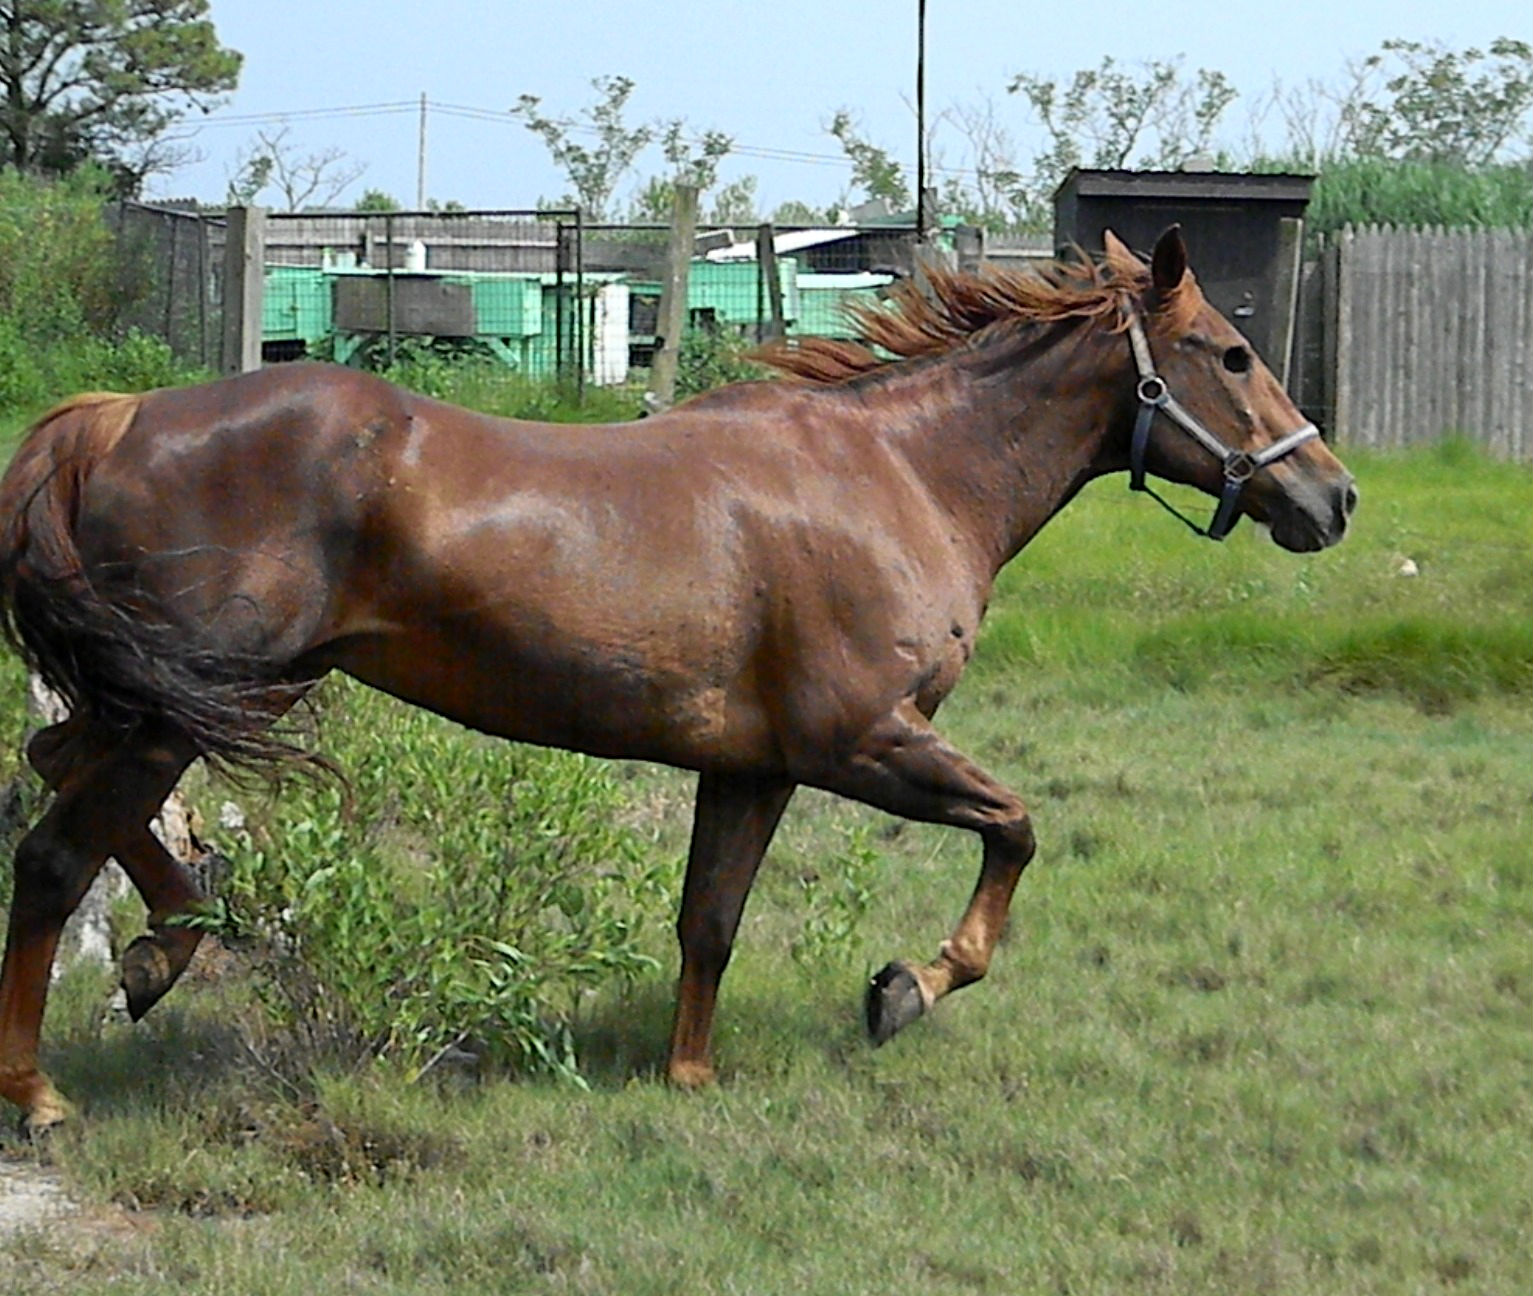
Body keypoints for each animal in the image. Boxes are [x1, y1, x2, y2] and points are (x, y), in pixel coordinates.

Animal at [0, 227, 1355, 1132]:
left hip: (177, 700)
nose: (1332, 497)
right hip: (198, 699)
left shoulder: (752, 768)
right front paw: (907, 988)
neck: (897, 474)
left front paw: (690, 1073)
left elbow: (710, 920)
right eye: (1231, 353)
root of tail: (111, 420)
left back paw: (163, 953)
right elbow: (1015, 829)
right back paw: (45, 1087)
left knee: (62, 782)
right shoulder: (862, 740)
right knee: (56, 854)